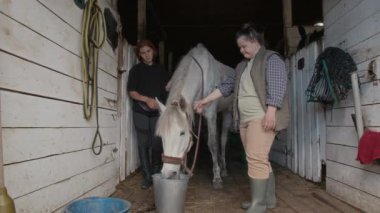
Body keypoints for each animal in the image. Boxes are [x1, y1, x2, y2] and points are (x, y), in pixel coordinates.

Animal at [156, 43, 233, 188]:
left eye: (182, 133)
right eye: (161, 135)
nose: (168, 174)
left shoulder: (210, 115)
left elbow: (212, 144)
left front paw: (217, 177)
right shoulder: (191, 114)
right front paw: (182, 169)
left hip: (226, 112)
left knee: (223, 140)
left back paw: (224, 168)